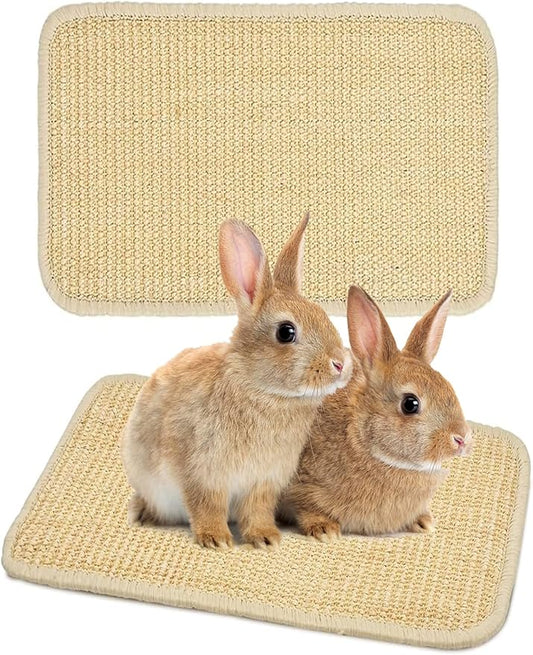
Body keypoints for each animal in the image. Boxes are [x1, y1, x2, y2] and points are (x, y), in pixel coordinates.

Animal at [121, 215, 352, 549]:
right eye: (286, 332)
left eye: (323, 315)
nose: (340, 363)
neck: (261, 390)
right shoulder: (204, 474)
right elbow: (207, 506)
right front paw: (216, 539)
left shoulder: (263, 482)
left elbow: (257, 511)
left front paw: (266, 538)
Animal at [280, 286, 472, 539]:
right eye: (410, 404)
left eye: (449, 386)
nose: (461, 438)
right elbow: (305, 507)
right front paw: (324, 529)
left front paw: (424, 522)